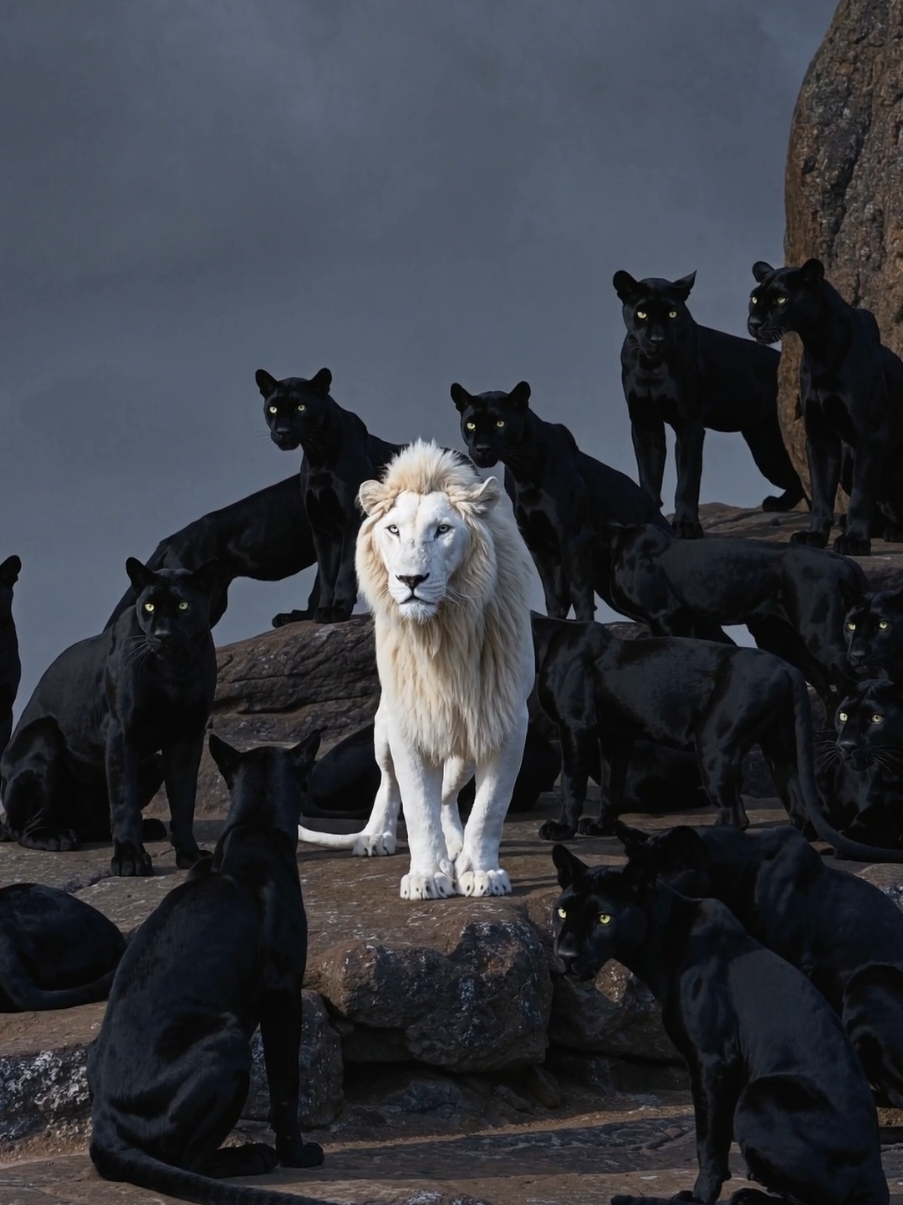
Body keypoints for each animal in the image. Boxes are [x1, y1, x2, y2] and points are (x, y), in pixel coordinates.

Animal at [295, 438, 535, 901]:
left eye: (442, 529)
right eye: (393, 530)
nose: (410, 579)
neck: (442, 632)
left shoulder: (505, 718)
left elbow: (489, 807)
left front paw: (480, 871)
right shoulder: (411, 720)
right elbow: (417, 804)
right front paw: (426, 876)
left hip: (461, 741)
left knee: (448, 794)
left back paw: (456, 849)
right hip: (384, 725)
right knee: (390, 784)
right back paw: (377, 836)